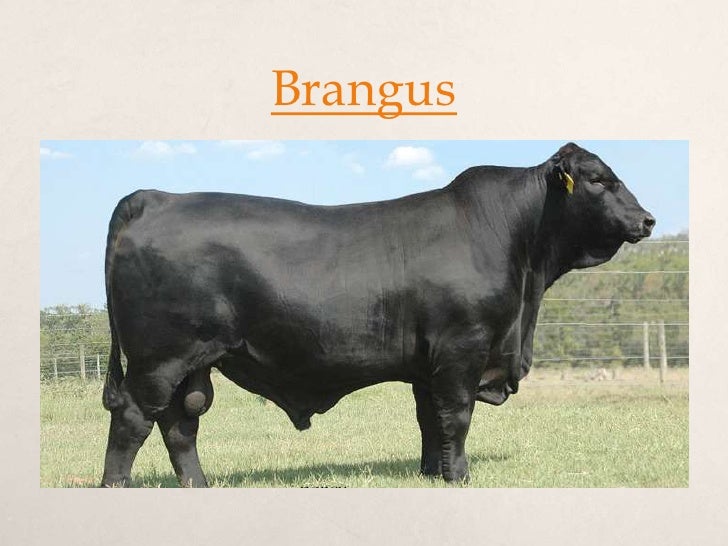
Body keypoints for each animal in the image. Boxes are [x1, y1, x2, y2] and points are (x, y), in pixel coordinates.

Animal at [100, 142, 655, 487]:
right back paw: (115, 485)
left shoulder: (428, 364)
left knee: (180, 423)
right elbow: (457, 415)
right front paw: (460, 476)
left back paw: (199, 484)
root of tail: (154, 198)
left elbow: (430, 419)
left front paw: (433, 472)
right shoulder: (463, 349)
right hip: (160, 358)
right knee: (133, 419)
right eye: (598, 179)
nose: (648, 219)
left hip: (190, 363)